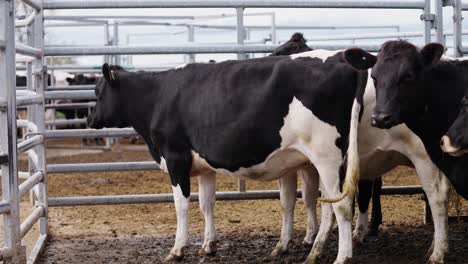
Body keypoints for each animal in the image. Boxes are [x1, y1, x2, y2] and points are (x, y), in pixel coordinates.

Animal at [342, 40, 466, 262]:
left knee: (436, 197)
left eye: (408, 76)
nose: (380, 118)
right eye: (374, 77)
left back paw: (437, 252)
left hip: (423, 159)